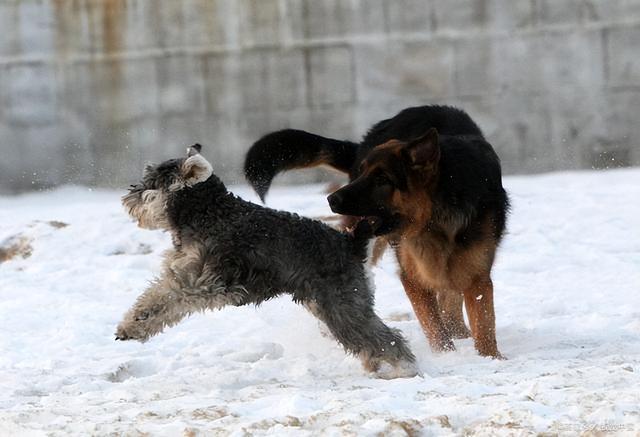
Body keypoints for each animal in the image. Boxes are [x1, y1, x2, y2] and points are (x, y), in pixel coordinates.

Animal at [116, 145, 420, 376]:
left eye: (152, 183)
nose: (128, 197)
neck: (209, 213)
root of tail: (351, 242)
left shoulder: (201, 283)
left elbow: (164, 301)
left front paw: (134, 325)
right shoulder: (183, 275)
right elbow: (155, 294)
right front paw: (131, 324)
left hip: (341, 307)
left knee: (385, 338)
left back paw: (403, 369)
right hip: (329, 305)